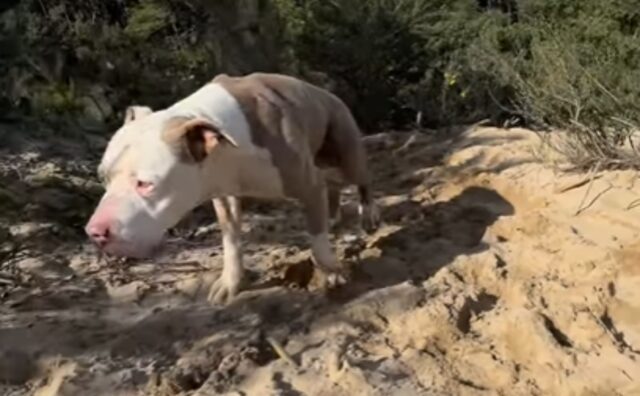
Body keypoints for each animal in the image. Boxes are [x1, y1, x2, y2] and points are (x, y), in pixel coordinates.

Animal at [85, 72, 380, 304]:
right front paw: (231, 282)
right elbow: (231, 243)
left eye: (145, 184)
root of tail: (325, 92)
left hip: (347, 153)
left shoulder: (308, 184)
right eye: (102, 177)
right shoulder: (224, 196)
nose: (95, 232)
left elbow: (317, 241)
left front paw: (331, 271)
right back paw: (333, 214)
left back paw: (368, 216)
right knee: (332, 185)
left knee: (362, 180)